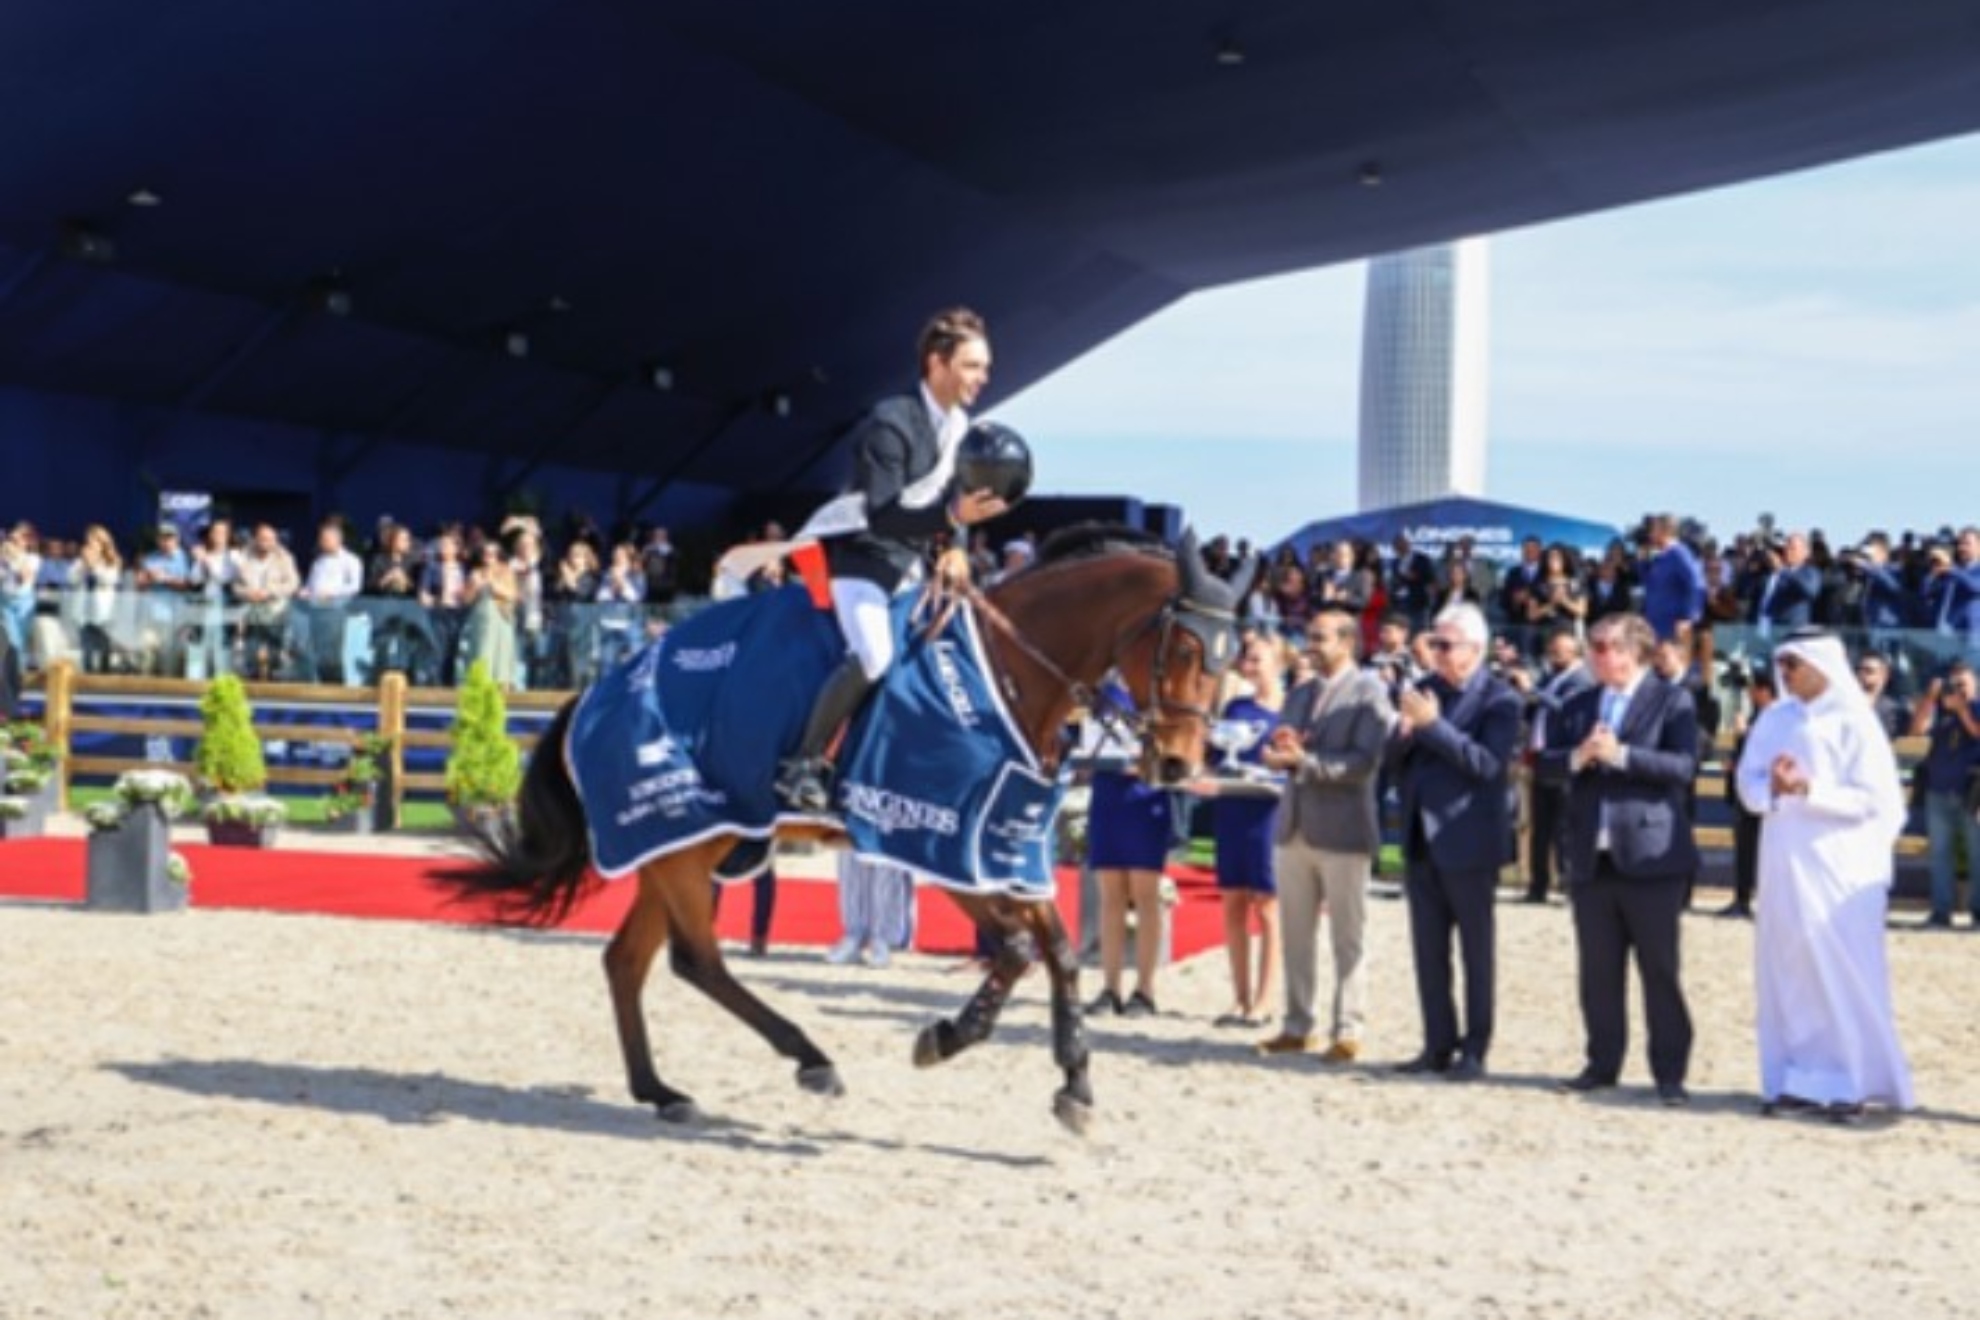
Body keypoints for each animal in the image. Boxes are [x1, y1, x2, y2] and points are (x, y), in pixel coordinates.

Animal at [445, 526, 1251, 1139]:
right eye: (1184, 651)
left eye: (1232, 660)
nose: (1178, 765)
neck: (1007, 677)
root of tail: (595, 692)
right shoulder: (929, 839)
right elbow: (1020, 949)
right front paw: (945, 1039)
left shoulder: (999, 846)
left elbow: (1056, 948)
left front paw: (1076, 1085)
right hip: (682, 845)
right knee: (696, 961)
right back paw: (808, 1058)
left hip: (680, 846)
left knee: (627, 962)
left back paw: (661, 1091)